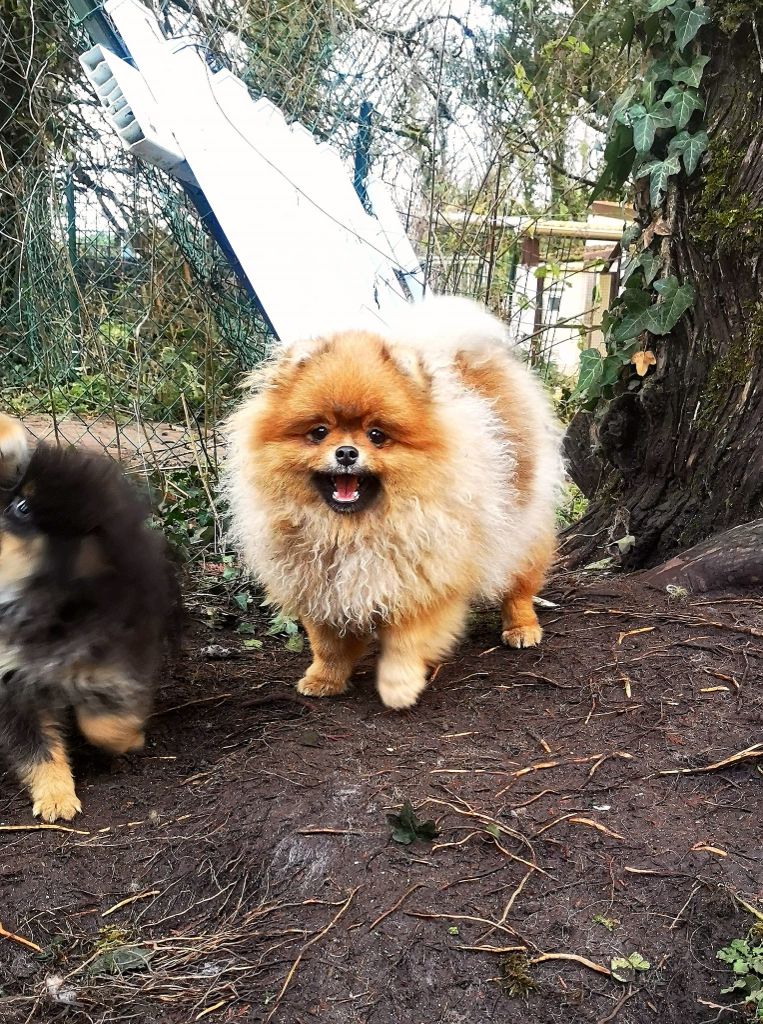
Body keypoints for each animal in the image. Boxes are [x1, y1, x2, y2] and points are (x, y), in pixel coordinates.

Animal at [0, 411, 177, 819]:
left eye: (23, 507)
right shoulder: (14, 681)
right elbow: (36, 747)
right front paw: (55, 797)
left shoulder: (117, 647)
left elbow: (104, 716)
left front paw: (127, 738)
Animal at [223, 299, 561, 708]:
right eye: (319, 432)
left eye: (377, 435)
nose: (346, 452)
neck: (350, 530)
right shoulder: (319, 585)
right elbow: (327, 645)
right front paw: (324, 679)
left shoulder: (422, 584)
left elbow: (405, 643)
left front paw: (398, 686)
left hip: (521, 529)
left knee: (520, 584)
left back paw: (522, 627)